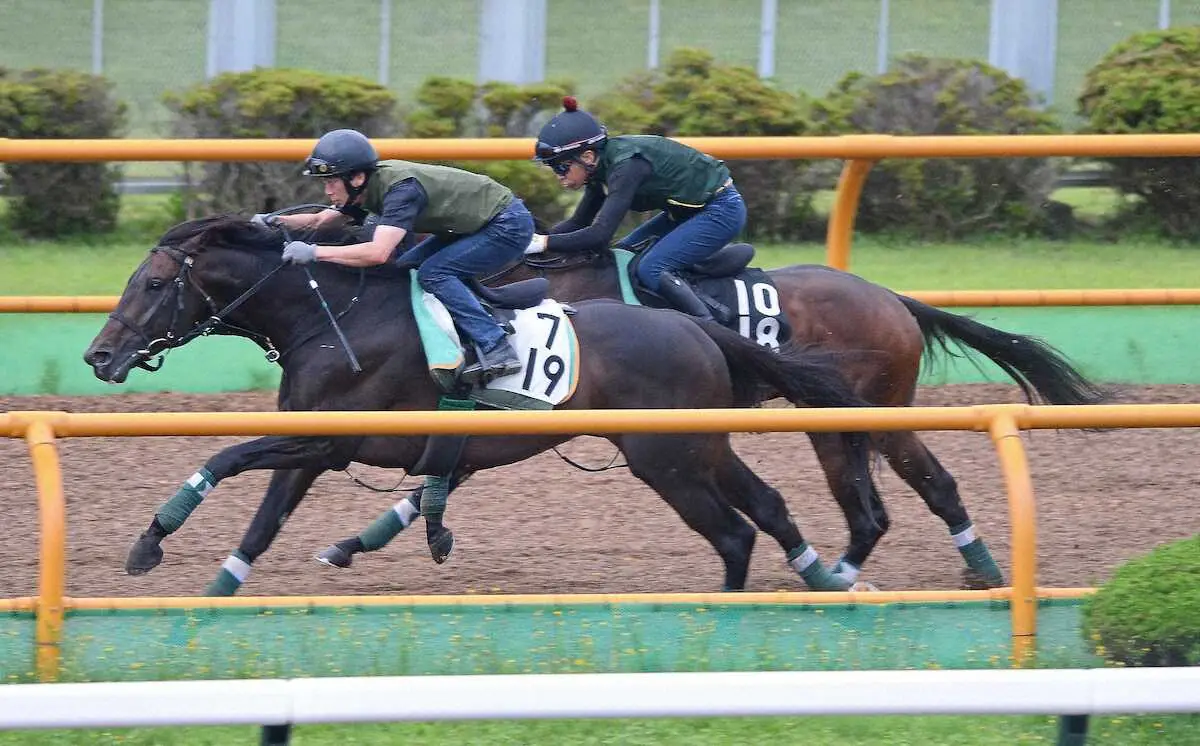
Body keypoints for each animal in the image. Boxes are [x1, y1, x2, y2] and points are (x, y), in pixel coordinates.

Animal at [82, 215, 873, 597]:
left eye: (154, 283)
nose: (99, 356)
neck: (334, 317)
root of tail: (697, 325)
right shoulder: (312, 444)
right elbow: (264, 519)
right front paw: (215, 588)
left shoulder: (332, 442)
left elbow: (226, 455)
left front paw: (151, 542)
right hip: (699, 448)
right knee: (766, 506)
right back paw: (820, 577)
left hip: (668, 460)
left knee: (734, 534)